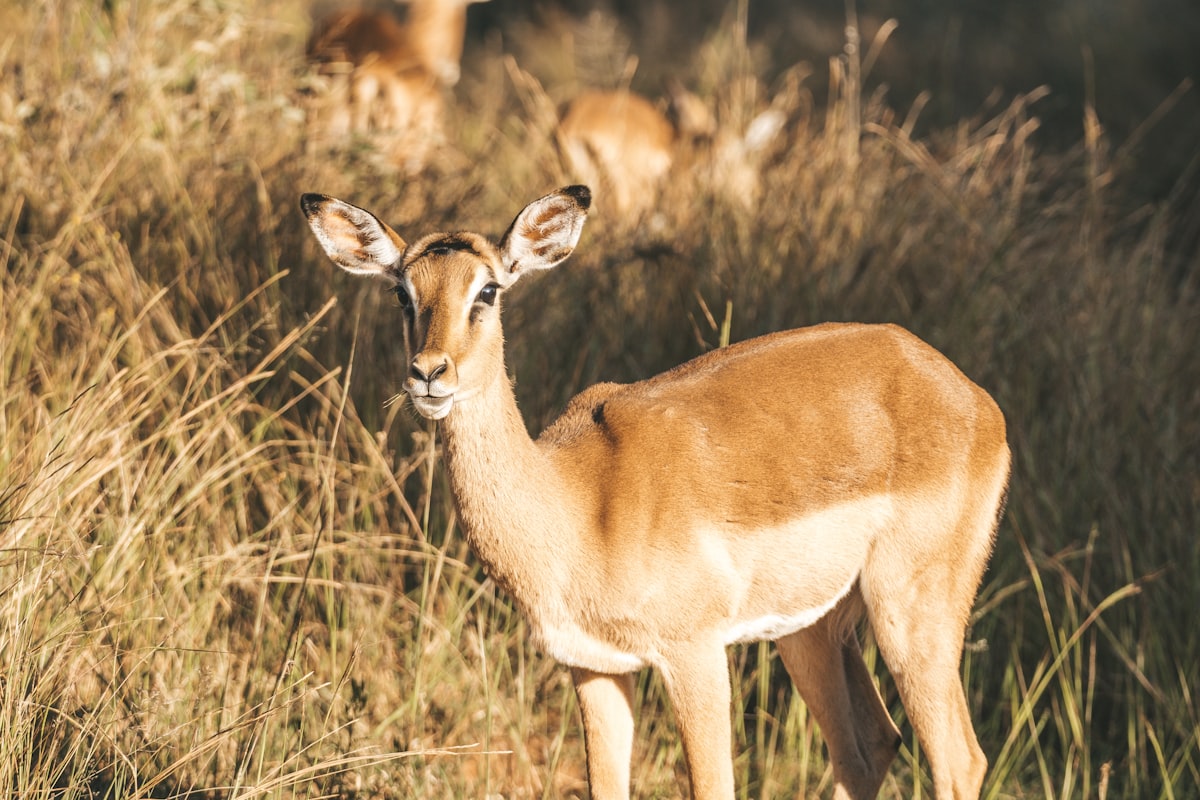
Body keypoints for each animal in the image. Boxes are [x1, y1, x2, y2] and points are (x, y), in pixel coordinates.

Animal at [299, 184, 1010, 799]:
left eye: (489, 290)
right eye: (401, 292)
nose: (428, 374)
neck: (575, 503)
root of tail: (972, 398)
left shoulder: (693, 657)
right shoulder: (595, 668)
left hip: (909, 616)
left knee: (960, 762)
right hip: (812, 630)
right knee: (869, 748)